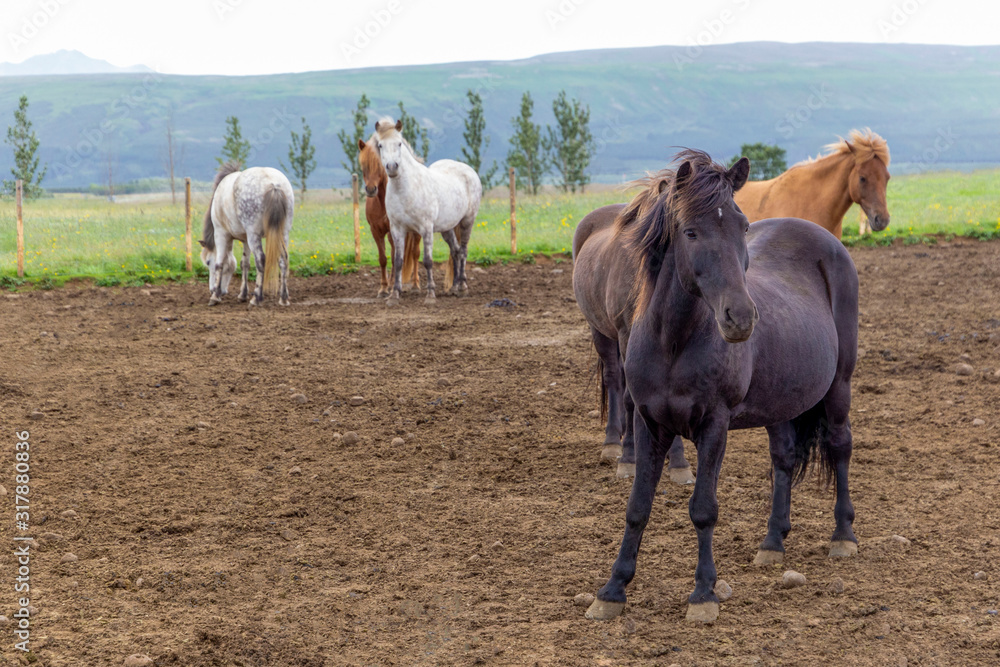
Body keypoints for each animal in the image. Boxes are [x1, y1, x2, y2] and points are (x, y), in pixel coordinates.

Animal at [199, 162, 293, 306]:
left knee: (261, 260)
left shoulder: (221, 234)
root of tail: (273, 184)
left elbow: (220, 263)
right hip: (283, 233)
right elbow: (245, 264)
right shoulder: (245, 239)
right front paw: (242, 294)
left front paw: (215, 297)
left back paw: (256, 298)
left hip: (254, 235)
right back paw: (283, 298)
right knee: (283, 259)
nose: (211, 290)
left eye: (208, 262)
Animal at [358, 133, 424, 296]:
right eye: (363, 165)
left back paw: (415, 285)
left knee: (415, 254)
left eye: (380, 164)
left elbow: (397, 258)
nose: (371, 189)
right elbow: (383, 258)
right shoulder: (376, 231)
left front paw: (395, 285)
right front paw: (383, 288)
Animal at [374, 118, 482, 305]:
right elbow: (398, 261)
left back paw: (462, 287)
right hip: (447, 228)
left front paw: (430, 295)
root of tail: (469, 171)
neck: (405, 189)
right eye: (380, 145)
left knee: (463, 251)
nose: (392, 167)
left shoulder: (425, 229)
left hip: (467, 221)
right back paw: (454, 288)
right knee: (455, 251)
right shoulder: (397, 229)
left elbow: (428, 261)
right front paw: (394, 295)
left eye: (399, 143)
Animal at [572, 179, 693, 484]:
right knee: (616, 379)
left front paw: (678, 462)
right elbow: (628, 396)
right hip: (601, 331)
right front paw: (629, 458)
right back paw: (613, 442)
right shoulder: (626, 334)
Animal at [585, 149, 859, 625]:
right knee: (784, 459)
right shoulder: (649, 424)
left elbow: (703, 509)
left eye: (742, 226)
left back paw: (842, 535)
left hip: (839, 388)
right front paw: (613, 589)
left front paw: (703, 594)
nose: (741, 317)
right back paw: (773, 542)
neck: (673, 342)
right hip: (780, 404)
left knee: (840, 446)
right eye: (690, 231)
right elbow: (637, 507)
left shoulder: (713, 426)